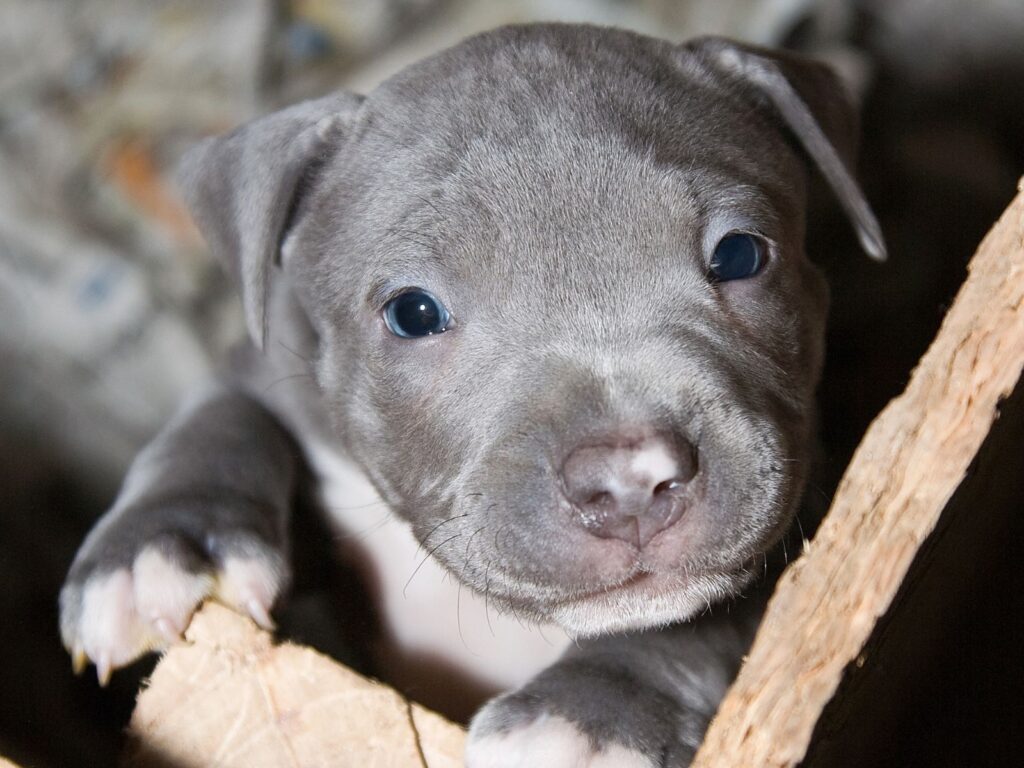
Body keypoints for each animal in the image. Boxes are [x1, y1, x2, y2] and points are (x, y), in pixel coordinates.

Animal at [59, 24, 884, 768]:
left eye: (740, 254)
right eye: (413, 313)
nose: (630, 482)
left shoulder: (813, 493)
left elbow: (716, 614)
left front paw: (593, 712)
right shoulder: (267, 372)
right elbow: (216, 419)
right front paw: (161, 548)